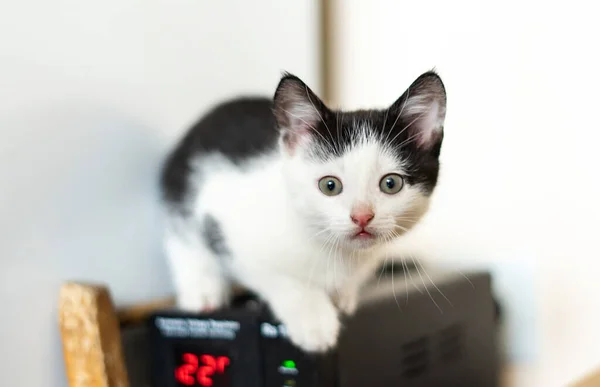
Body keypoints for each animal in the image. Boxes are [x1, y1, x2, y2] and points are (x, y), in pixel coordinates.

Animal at [159, 71, 446, 354]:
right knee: (182, 239)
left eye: (391, 183)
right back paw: (202, 290)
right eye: (330, 185)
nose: (362, 216)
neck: (332, 251)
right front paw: (313, 319)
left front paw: (342, 294)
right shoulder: (224, 223)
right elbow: (274, 275)